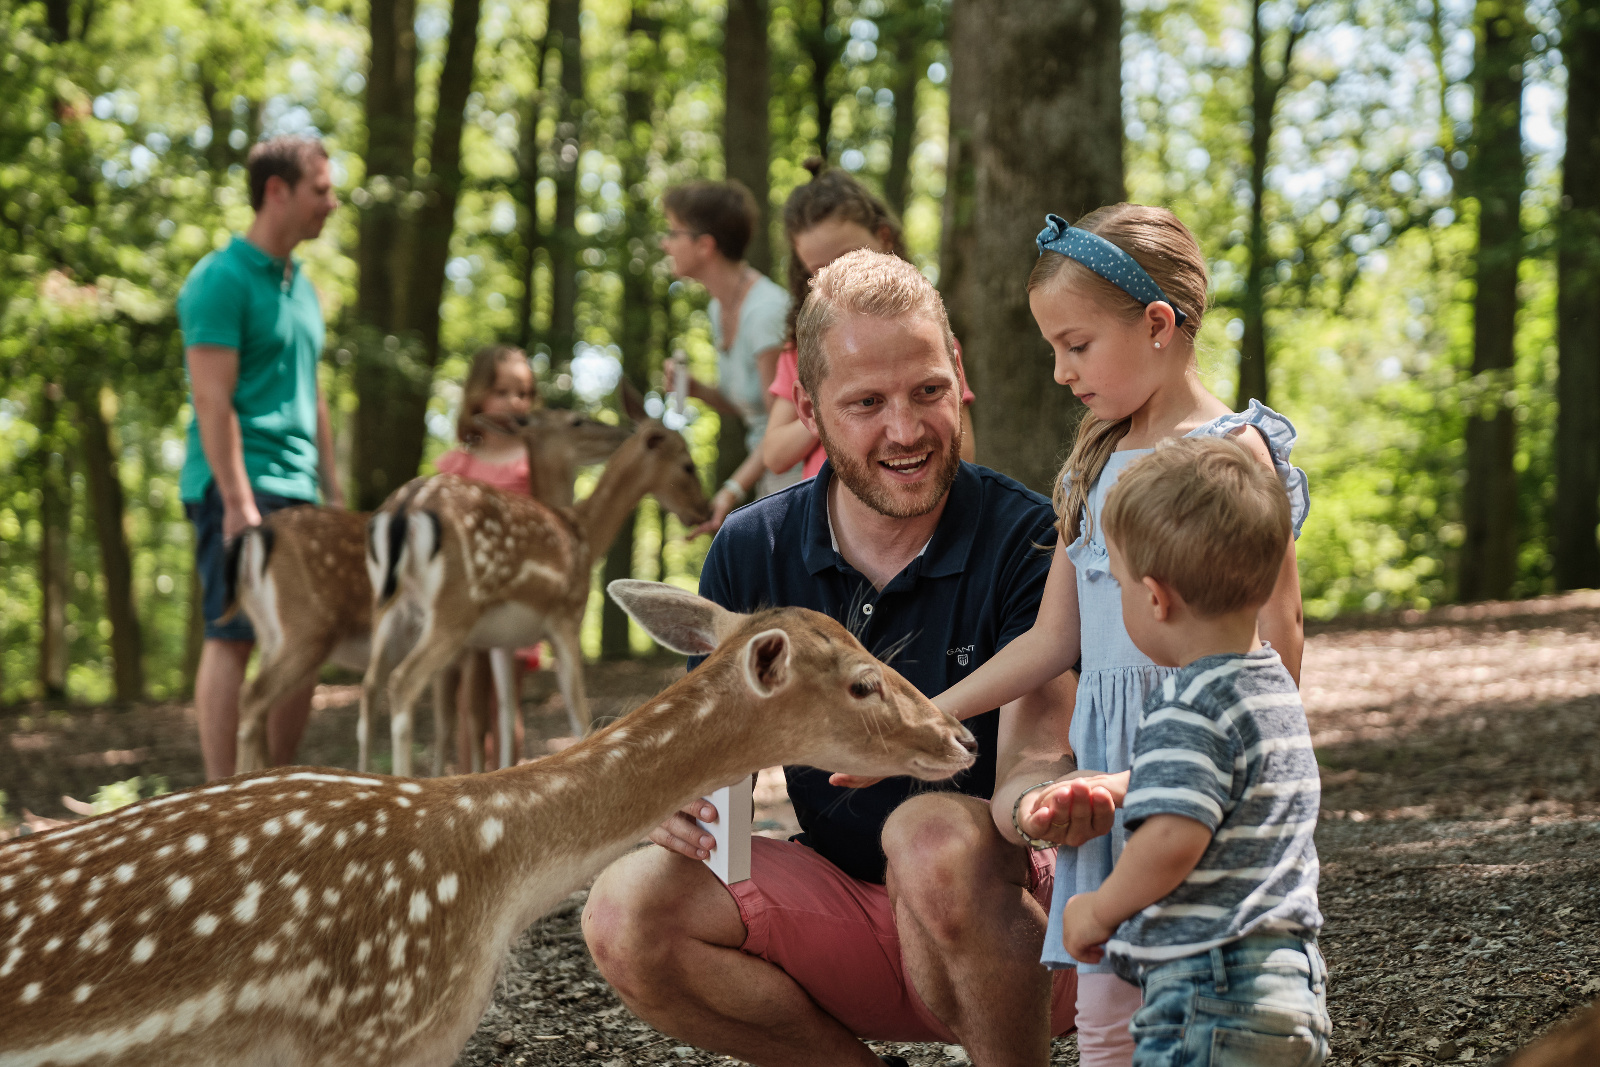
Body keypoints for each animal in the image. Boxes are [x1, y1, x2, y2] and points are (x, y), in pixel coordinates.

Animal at [227, 412, 630, 777]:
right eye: (577, 420)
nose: (623, 432)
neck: (579, 532)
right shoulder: (549, 623)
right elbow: (489, 717)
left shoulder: (495, 642)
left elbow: (488, 713)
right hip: (354, 625)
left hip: (323, 626)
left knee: (361, 690)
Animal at [363, 422, 713, 780]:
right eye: (688, 464)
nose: (705, 510)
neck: (585, 536)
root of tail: (406, 505)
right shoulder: (567, 617)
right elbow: (579, 712)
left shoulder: (501, 640)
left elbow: (506, 714)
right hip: (453, 609)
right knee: (402, 682)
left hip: (388, 608)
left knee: (370, 686)